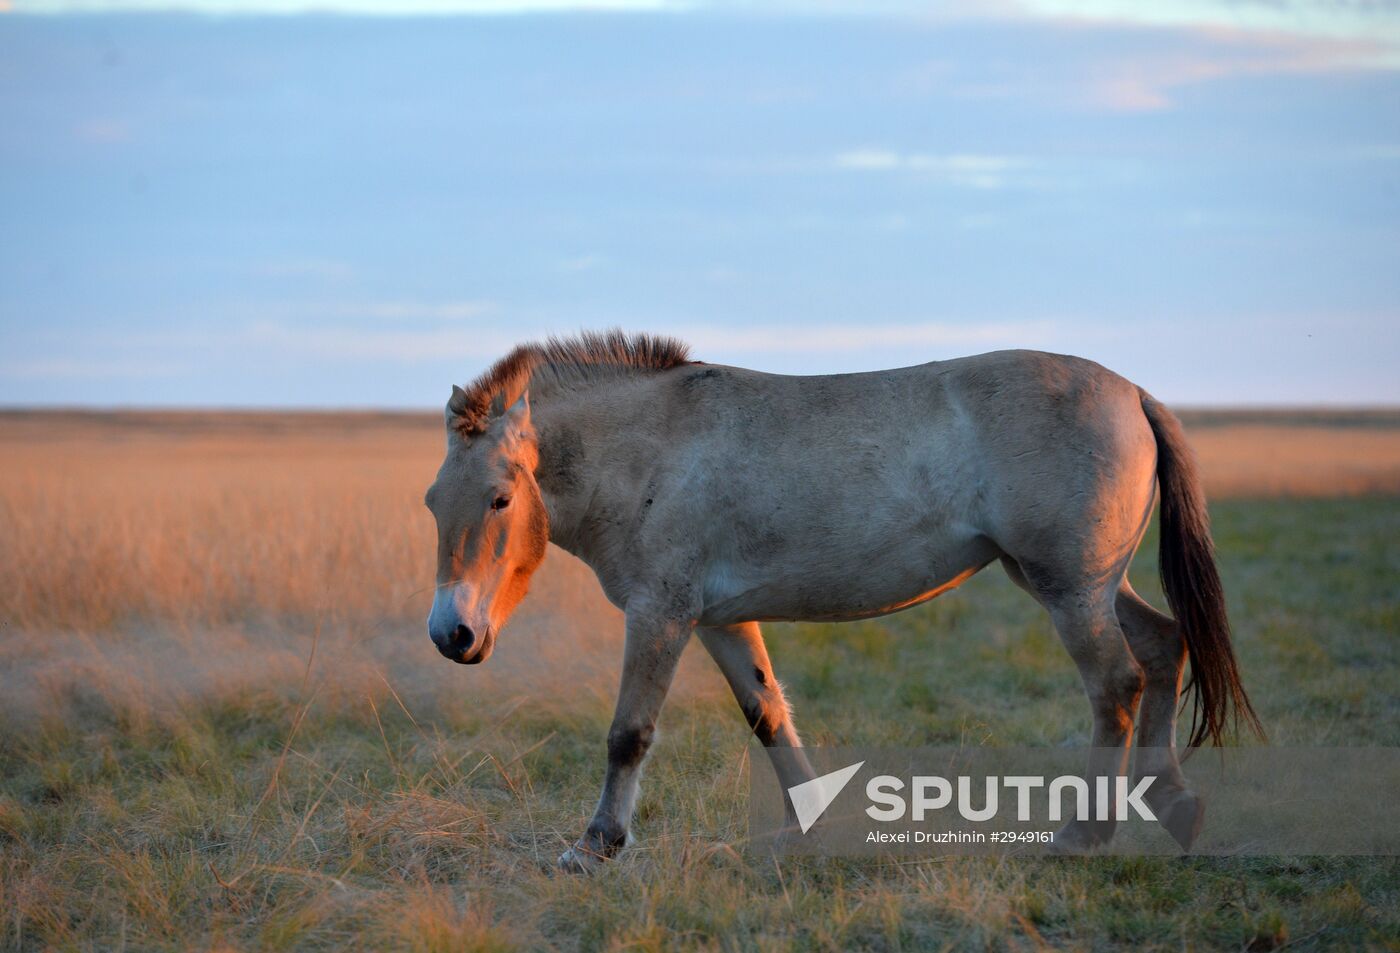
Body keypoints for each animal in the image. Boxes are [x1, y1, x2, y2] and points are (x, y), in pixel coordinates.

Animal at [420, 327, 1265, 867]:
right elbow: (768, 715)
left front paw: (595, 845)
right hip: (1084, 583)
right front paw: (804, 828)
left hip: (1070, 591)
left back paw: (1084, 836)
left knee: (1117, 684)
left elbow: (629, 733)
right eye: (433, 501)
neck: (652, 447)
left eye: (499, 498)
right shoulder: (720, 620)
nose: (450, 634)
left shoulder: (660, 615)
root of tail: (1134, 393)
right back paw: (1174, 803)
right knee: (1163, 645)